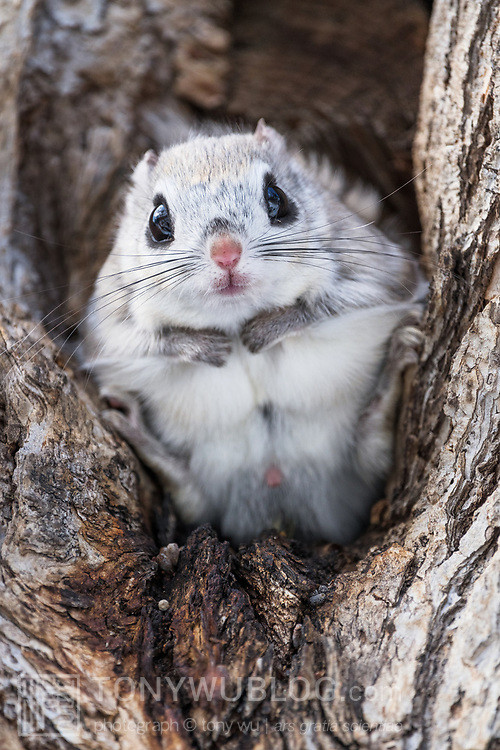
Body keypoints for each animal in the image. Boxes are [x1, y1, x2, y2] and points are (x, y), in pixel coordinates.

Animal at [83, 119, 424, 545]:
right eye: (158, 220)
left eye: (276, 196)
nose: (226, 253)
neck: (236, 315)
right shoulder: (108, 321)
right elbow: (137, 343)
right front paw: (204, 346)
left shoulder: (381, 272)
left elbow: (330, 305)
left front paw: (267, 329)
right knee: (188, 492)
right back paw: (138, 433)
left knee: (371, 450)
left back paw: (392, 376)